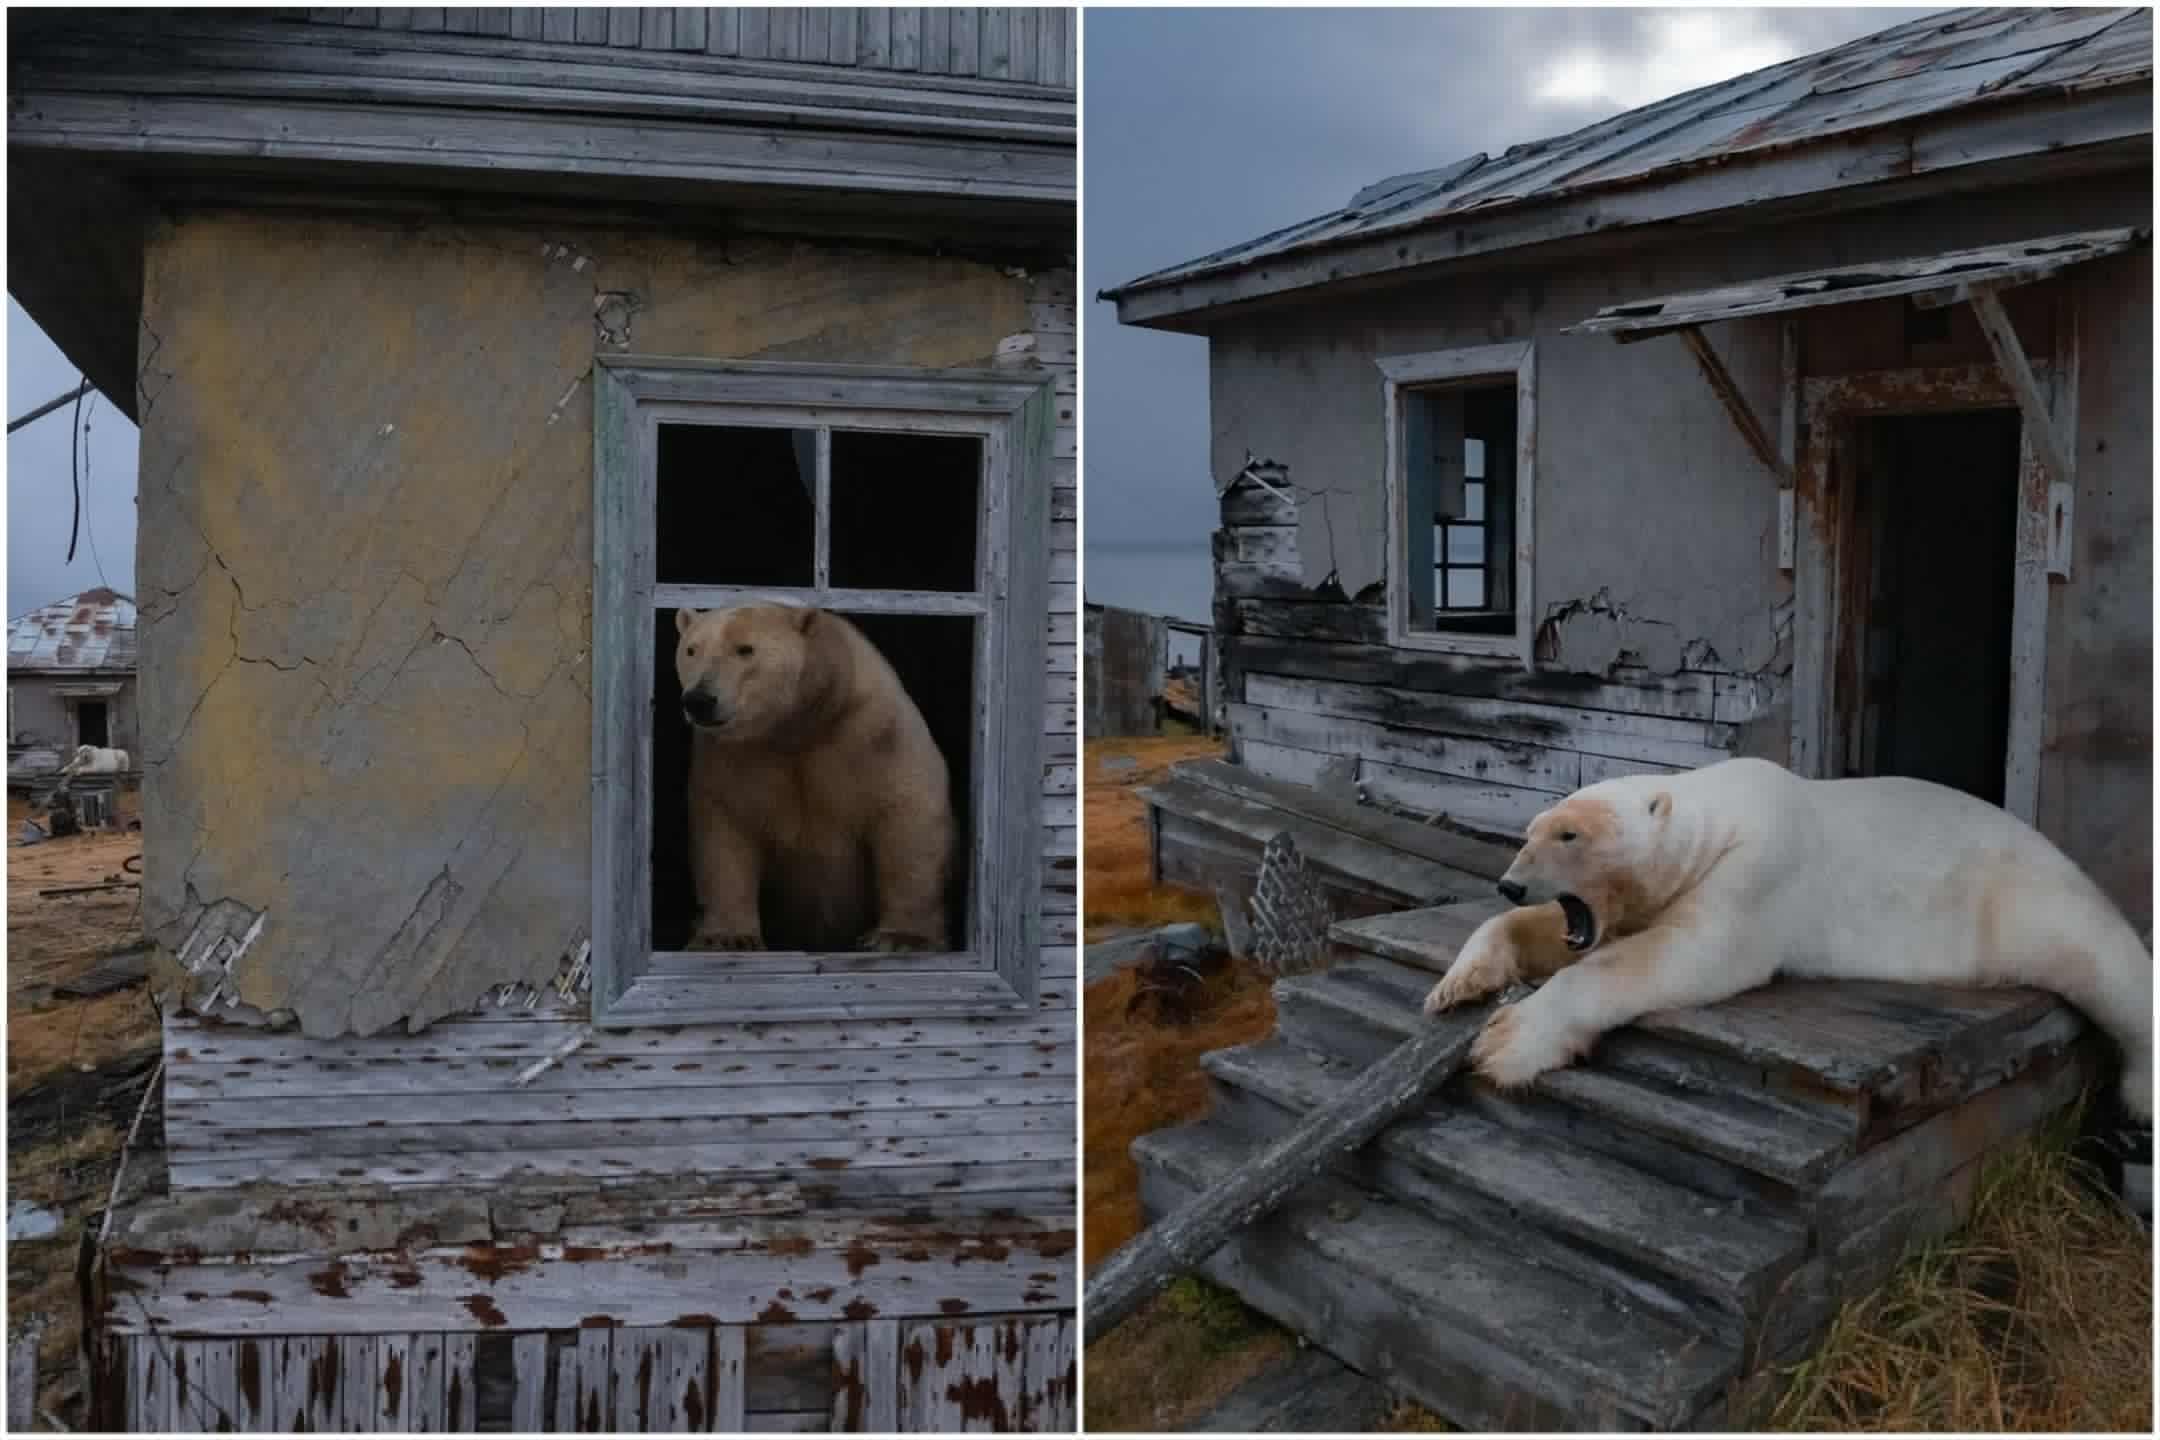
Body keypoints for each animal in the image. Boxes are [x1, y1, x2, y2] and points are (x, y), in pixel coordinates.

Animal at [673, 603, 955, 954]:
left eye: (745, 649)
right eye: (691, 649)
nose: (699, 700)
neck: (802, 726)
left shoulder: (875, 732)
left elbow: (908, 819)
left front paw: (901, 937)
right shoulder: (734, 756)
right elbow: (726, 831)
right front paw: (726, 937)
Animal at [1423, 757, 2154, 1122]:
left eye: (1569, 834)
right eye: (1531, 830)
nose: (1510, 883)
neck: (1723, 812)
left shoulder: (1759, 869)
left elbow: (1687, 952)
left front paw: (1507, 1042)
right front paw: (1461, 982)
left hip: (2025, 899)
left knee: (2105, 966)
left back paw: (2141, 1095)